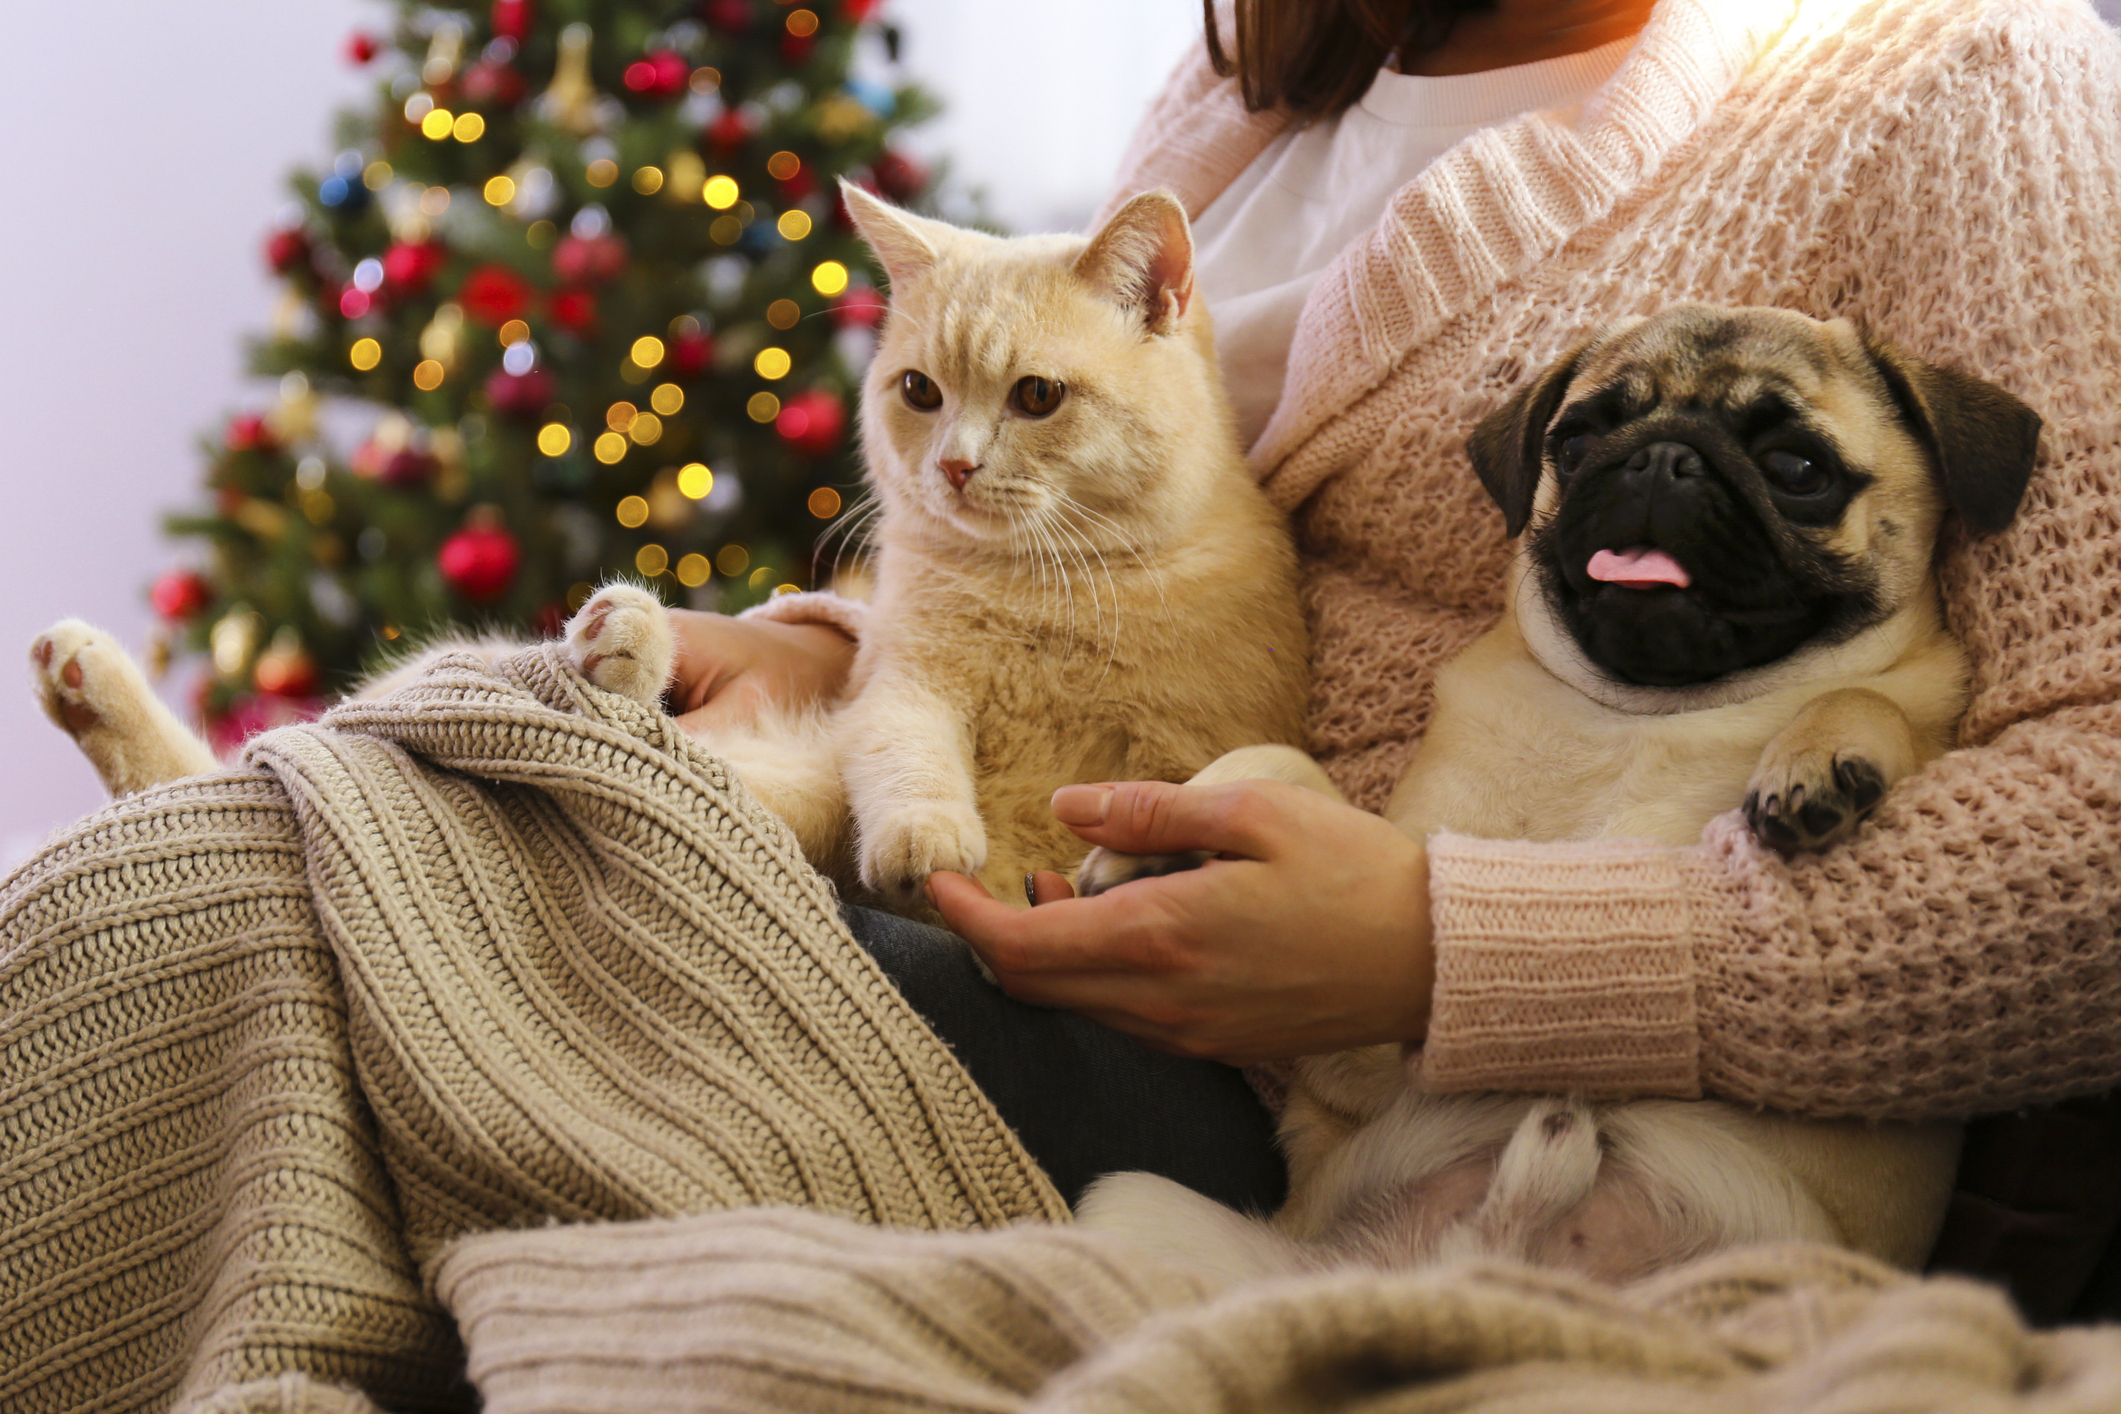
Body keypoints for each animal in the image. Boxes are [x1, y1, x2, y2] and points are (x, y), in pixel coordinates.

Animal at [33, 187, 1306, 920]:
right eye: (920, 393)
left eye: (1036, 397)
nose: (951, 465)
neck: (1060, 593)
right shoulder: (902, 692)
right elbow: (909, 761)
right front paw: (929, 835)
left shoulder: (1220, 733)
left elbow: (1271, 772)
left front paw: (1140, 856)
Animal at [1077, 307, 2036, 1297]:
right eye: (1574, 444)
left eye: (1797, 469)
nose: (1661, 457)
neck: (1640, 716)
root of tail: (1483, 1262)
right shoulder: (1358, 1068)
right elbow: (1275, 762)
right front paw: (1150, 843)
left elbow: (1866, 700)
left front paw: (1821, 753)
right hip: (1127, 1203)